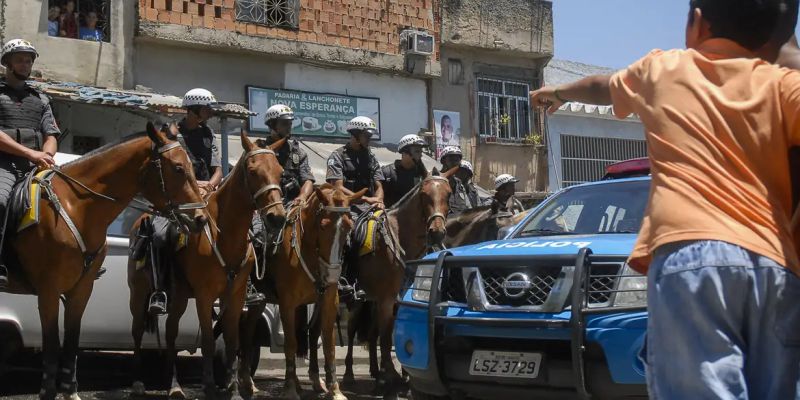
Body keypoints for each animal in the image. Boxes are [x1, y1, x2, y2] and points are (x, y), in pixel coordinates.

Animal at [2, 122, 206, 400]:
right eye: (178, 168)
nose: (201, 219)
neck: (76, 207)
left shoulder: (82, 289)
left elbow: (72, 340)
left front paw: (70, 391)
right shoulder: (48, 290)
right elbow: (52, 342)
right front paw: (48, 391)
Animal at [126, 132, 286, 400]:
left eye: (280, 171)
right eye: (252, 171)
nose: (277, 217)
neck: (225, 235)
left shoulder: (235, 296)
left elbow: (232, 341)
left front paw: (233, 388)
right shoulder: (204, 295)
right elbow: (209, 341)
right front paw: (210, 385)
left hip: (179, 296)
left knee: (170, 332)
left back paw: (173, 383)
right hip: (139, 293)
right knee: (139, 330)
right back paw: (140, 381)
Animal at [236, 184, 364, 400]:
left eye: (348, 226)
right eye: (323, 225)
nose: (332, 273)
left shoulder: (328, 300)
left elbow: (327, 344)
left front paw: (334, 389)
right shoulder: (287, 303)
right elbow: (291, 344)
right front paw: (289, 389)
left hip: (262, 301)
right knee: (246, 333)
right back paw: (247, 382)